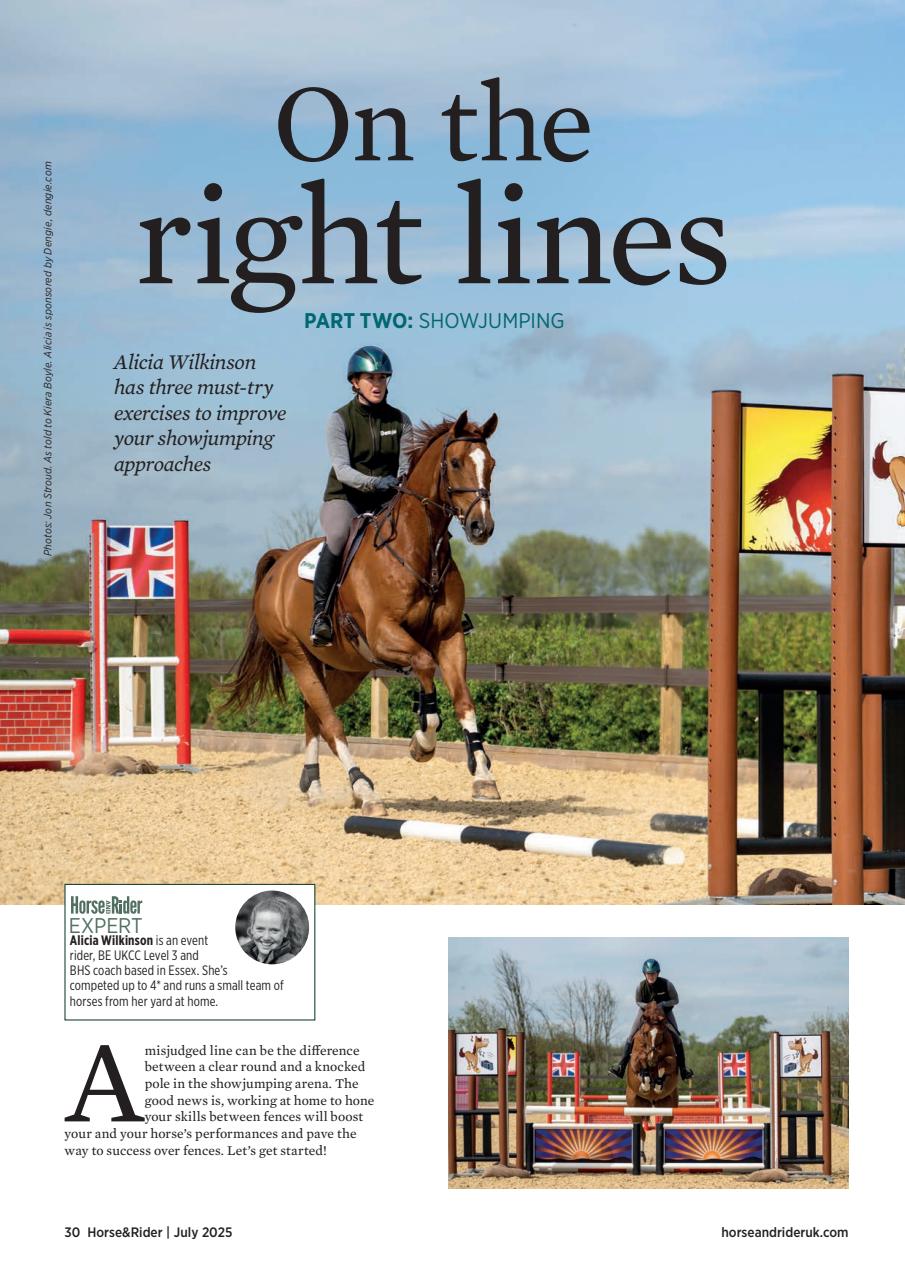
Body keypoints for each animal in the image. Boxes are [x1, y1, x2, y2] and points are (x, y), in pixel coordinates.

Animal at [224, 412, 501, 816]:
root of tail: (280, 563)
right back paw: (364, 790)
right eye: (454, 462)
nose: (482, 527)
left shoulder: (449, 636)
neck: (417, 550)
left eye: (491, 465)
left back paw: (314, 786)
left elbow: (464, 700)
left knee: (314, 714)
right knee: (330, 722)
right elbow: (424, 665)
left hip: (346, 668)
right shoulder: (385, 635)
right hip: (298, 654)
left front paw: (482, 774)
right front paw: (422, 743)